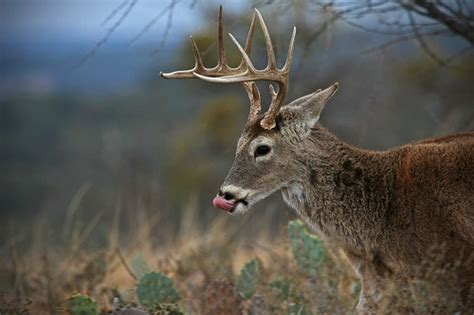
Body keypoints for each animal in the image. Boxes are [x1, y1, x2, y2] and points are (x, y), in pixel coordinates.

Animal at [161, 6, 472, 312]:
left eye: (262, 148)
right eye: (238, 144)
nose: (225, 195)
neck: (383, 210)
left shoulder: (453, 265)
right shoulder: (377, 277)